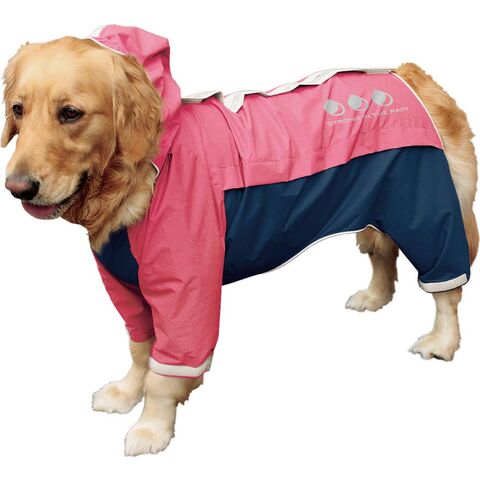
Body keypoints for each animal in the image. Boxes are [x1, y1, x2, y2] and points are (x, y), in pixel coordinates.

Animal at [2, 25, 478, 456]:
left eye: (70, 113)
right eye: (18, 110)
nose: (17, 188)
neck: (144, 170)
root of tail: (408, 75)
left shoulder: (187, 288)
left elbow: (165, 369)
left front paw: (152, 427)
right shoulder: (125, 285)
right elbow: (141, 348)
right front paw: (126, 392)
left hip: (424, 210)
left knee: (446, 288)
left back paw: (442, 342)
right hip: (377, 205)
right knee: (381, 253)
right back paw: (374, 297)